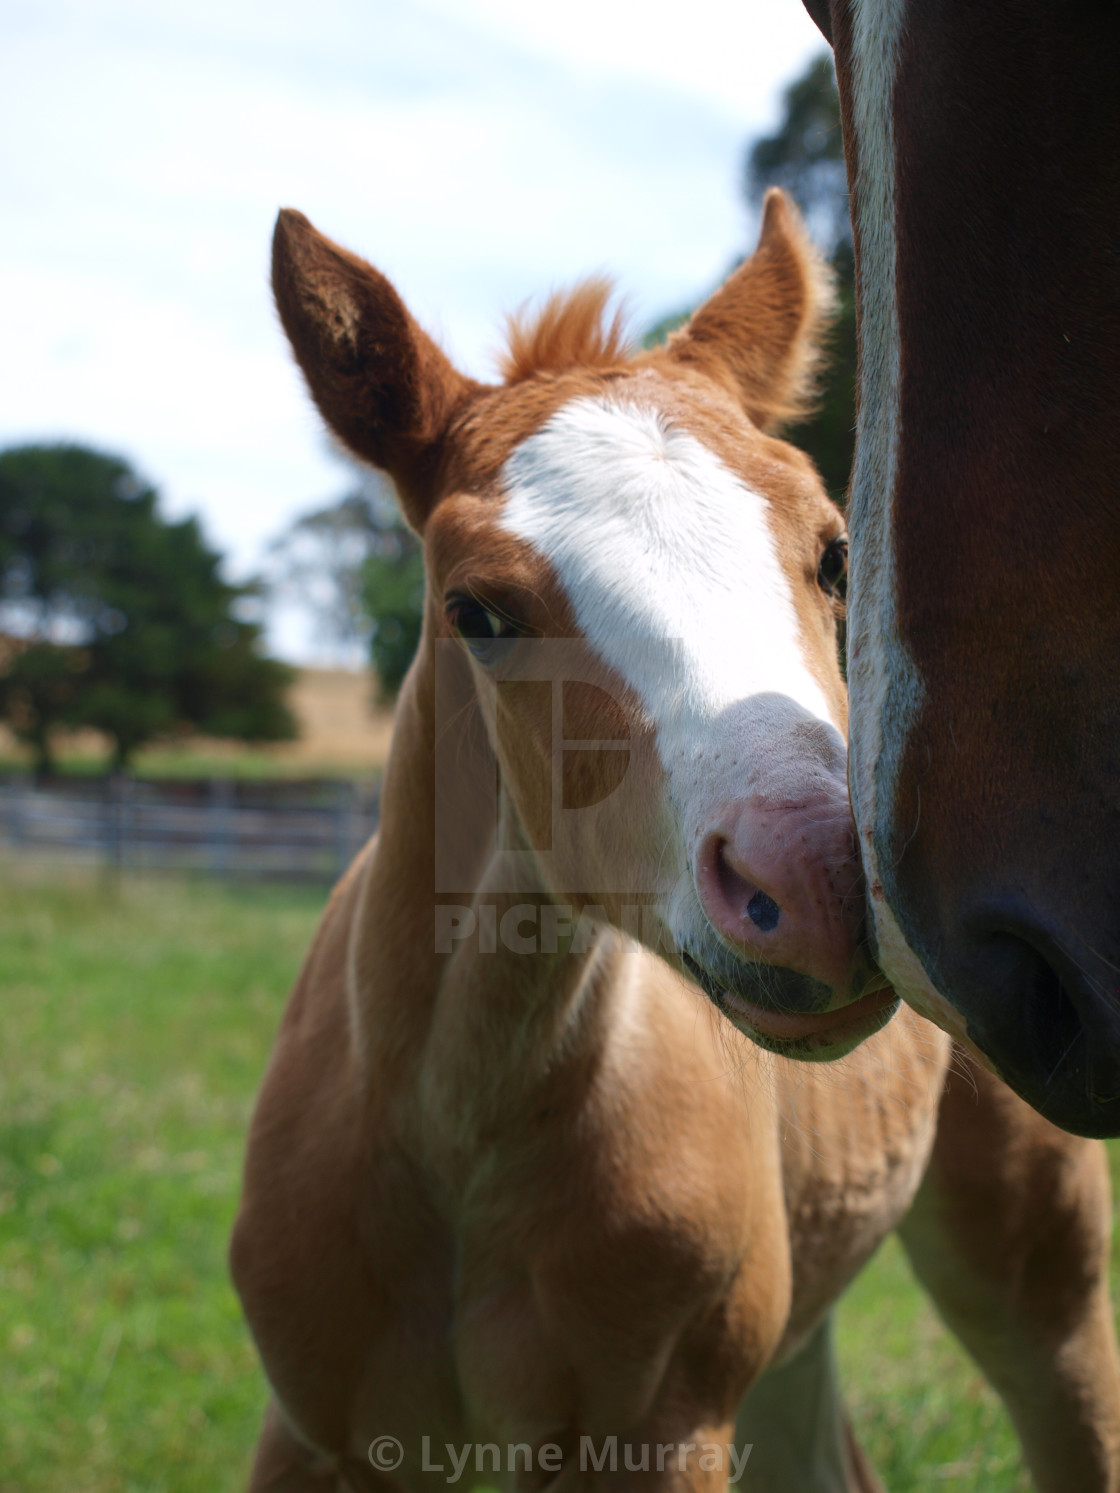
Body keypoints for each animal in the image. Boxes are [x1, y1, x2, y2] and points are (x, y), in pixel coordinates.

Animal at [229, 192, 1120, 1487]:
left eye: (833, 553)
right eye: (477, 610)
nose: (822, 881)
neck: (456, 1127)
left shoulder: (663, 1428)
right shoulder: (313, 1431)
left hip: (1032, 1257)